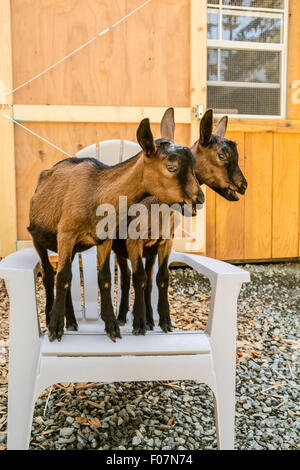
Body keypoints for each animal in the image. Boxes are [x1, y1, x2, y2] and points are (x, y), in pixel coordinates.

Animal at [29, 114, 204, 342]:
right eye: (171, 167)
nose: (198, 200)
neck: (96, 192)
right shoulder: (66, 234)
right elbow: (63, 277)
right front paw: (55, 328)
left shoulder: (104, 238)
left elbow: (104, 278)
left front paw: (112, 326)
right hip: (38, 239)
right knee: (51, 275)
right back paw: (52, 318)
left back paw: (73, 322)